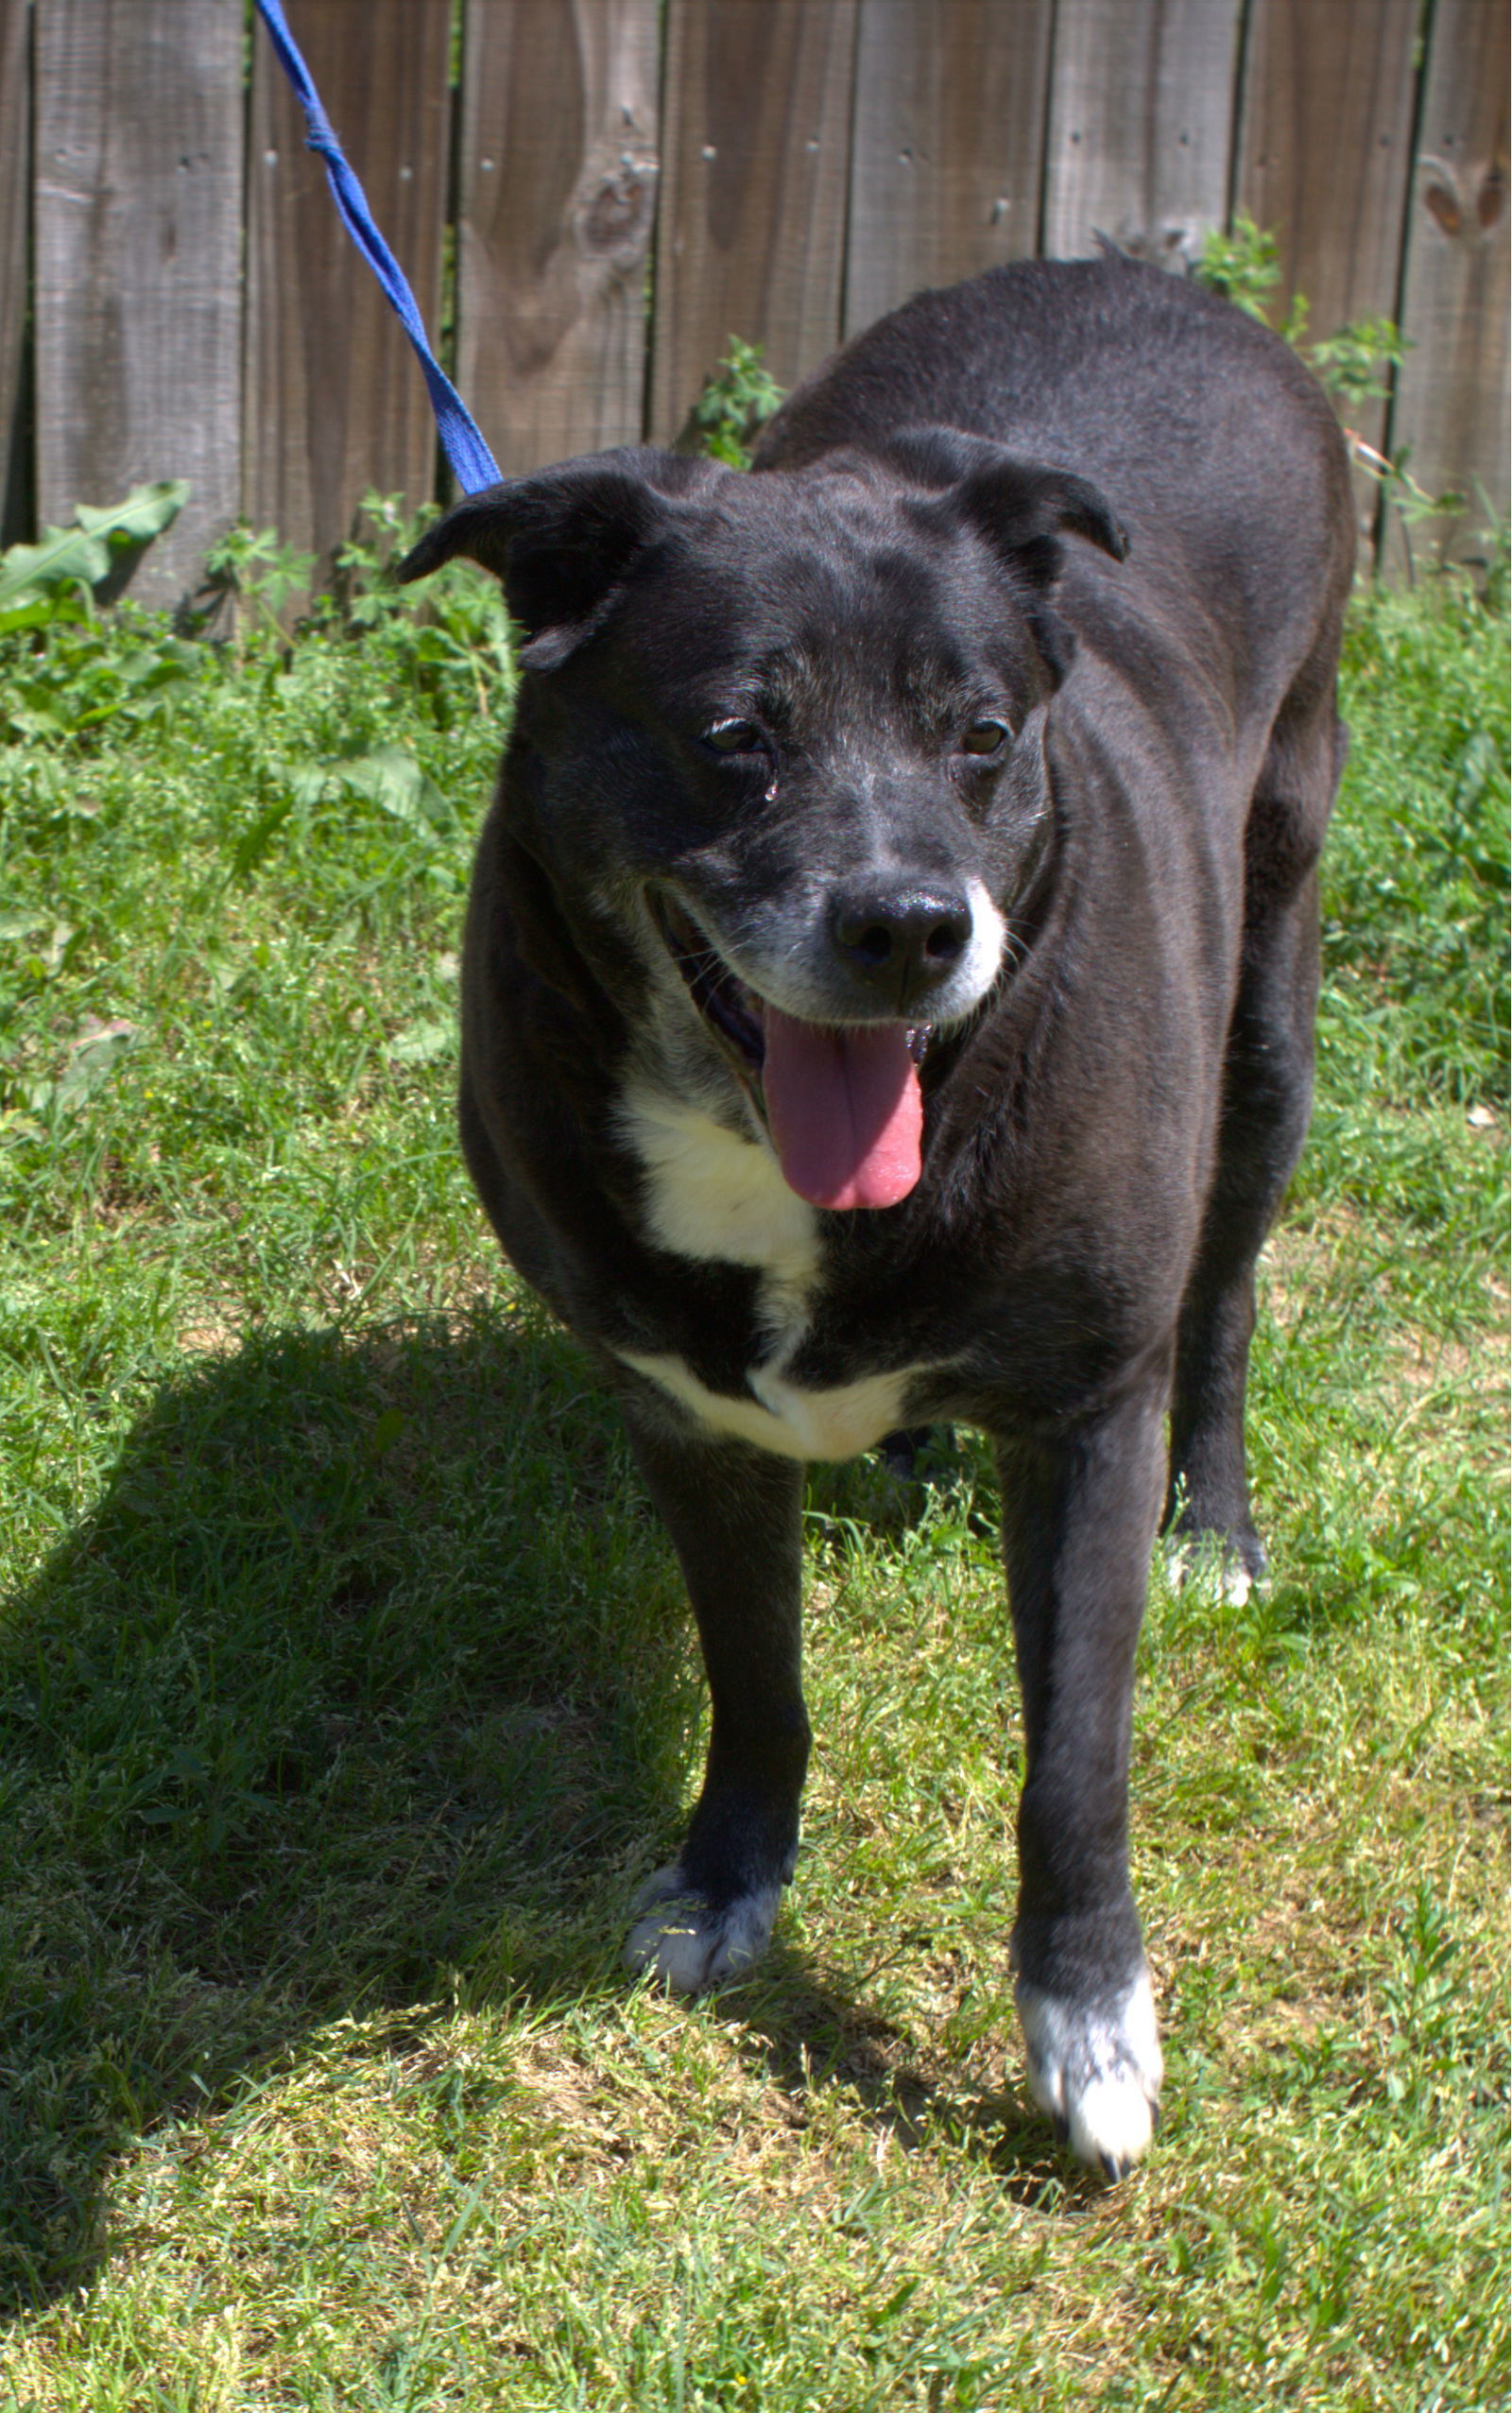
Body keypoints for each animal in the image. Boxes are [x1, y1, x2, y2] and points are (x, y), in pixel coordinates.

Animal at [395, 254, 1350, 2180]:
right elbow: (755, 1672)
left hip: (1271, 1002)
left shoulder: (1086, 1413)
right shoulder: (683, 1410)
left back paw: (1218, 1525)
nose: (913, 927)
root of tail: (1139, 271)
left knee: (1225, 1293)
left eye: (981, 738)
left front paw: (1089, 2020)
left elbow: (1075, 1758)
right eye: (734, 742)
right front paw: (726, 1881)